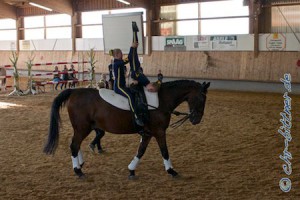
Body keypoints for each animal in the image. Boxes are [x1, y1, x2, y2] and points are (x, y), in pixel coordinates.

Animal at [43, 79, 210, 178]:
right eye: (202, 98)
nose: (196, 120)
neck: (161, 101)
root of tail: (74, 91)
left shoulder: (148, 133)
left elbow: (141, 151)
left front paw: (131, 169)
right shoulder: (159, 132)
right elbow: (164, 151)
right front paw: (171, 170)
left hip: (84, 128)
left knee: (76, 145)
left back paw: (80, 163)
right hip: (82, 128)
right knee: (74, 145)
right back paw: (78, 170)